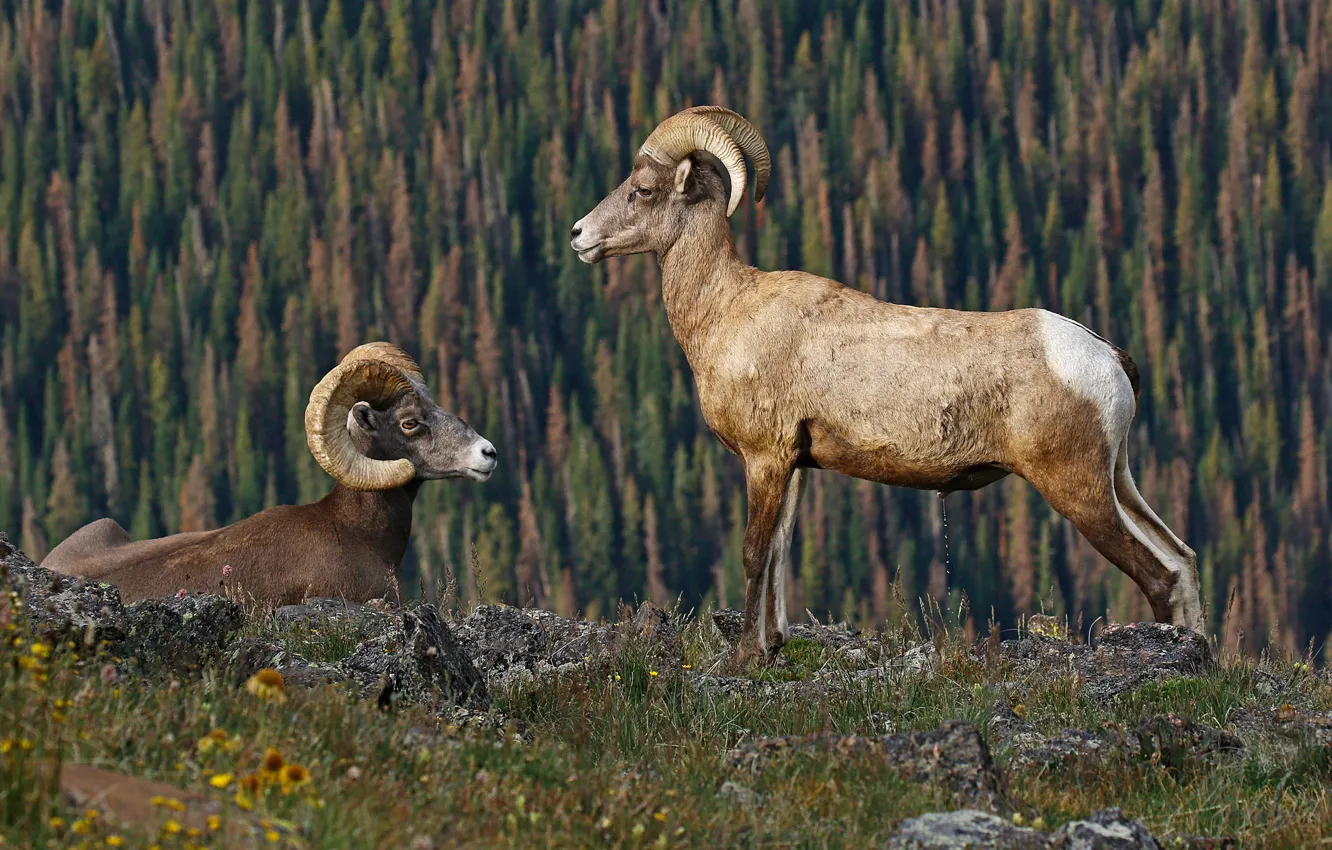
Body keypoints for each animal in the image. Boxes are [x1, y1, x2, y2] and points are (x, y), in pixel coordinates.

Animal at [570, 106, 1204, 665]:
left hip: (1078, 488)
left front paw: (745, 658)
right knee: (1182, 559)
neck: (725, 312)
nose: (578, 235)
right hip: (1118, 479)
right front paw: (772, 647)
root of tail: (1106, 357)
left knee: (1158, 574)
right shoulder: (794, 465)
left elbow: (754, 553)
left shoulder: (764, 459)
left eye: (643, 190)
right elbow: (780, 553)